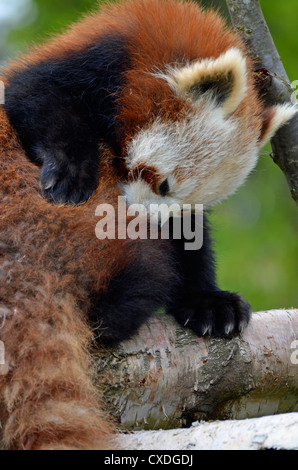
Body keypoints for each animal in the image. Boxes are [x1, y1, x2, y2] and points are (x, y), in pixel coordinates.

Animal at [0, 0, 296, 450]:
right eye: (164, 183)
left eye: (187, 204)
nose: (149, 221)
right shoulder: (92, 56)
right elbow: (33, 94)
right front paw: (71, 169)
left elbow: (193, 242)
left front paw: (208, 302)